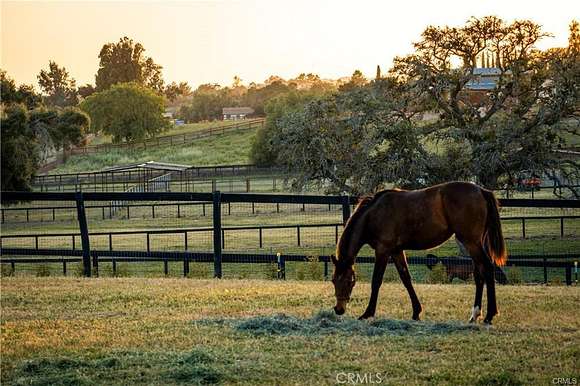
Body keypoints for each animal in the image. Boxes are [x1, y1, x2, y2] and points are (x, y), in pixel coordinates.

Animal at [330, 182, 508, 324]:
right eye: (333, 280)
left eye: (349, 281)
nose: (339, 309)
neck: (374, 214)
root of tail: (481, 190)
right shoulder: (396, 251)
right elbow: (406, 279)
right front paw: (416, 312)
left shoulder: (383, 250)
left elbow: (376, 281)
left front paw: (367, 313)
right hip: (475, 243)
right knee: (479, 274)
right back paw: (475, 315)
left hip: (471, 242)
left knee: (487, 268)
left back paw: (489, 315)